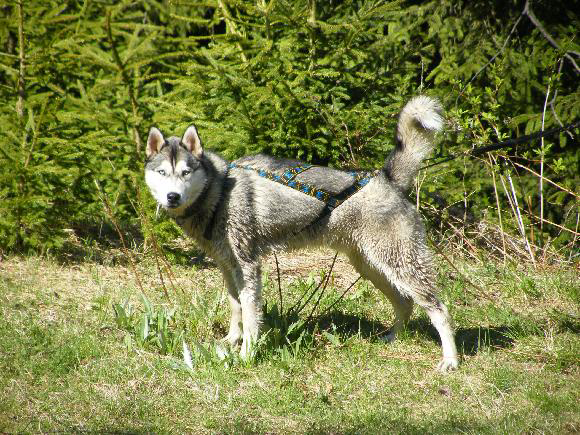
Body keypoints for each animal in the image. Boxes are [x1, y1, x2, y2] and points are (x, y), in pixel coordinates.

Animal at [144, 95, 458, 372]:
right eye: (162, 173)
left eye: (186, 172)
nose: (172, 197)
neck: (220, 193)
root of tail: (387, 179)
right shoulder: (227, 267)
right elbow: (236, 309)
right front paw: (231, 341)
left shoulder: (248, 268)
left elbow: (251, 315)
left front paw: (247, 354)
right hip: (371, 267)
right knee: (405, 303)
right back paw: (393, 338)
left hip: (400, 266)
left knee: (439, 310)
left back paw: (450, 360)